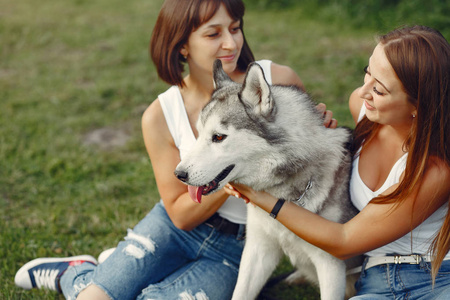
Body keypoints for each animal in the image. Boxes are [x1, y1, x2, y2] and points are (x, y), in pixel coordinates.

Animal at [174, 59, 360, 298]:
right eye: (198, 133)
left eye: (218, 137)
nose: (179, 175)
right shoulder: (258, 249)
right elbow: (240, 292)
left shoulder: (330, 265)